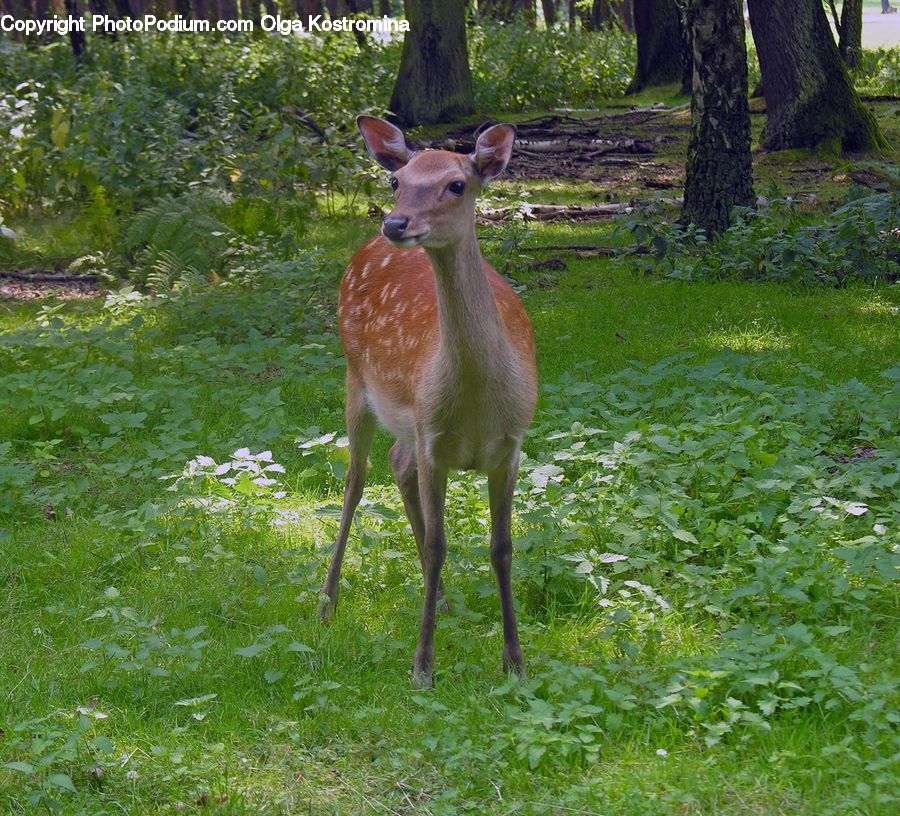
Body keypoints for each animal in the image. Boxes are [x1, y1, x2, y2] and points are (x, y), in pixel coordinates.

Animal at [318, 116, 537, 687]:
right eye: (398, 180)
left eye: (457, 184)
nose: (396, 223)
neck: (477, 403)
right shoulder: (433, 437)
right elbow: (439, 546)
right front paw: (422, 666)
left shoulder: (511, 446)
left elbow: (502, 548)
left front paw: (514, 661)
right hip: (357, 380)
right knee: (355, 481)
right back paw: (327, 600)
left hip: (407, 422)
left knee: (397, 462)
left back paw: (439, 599)